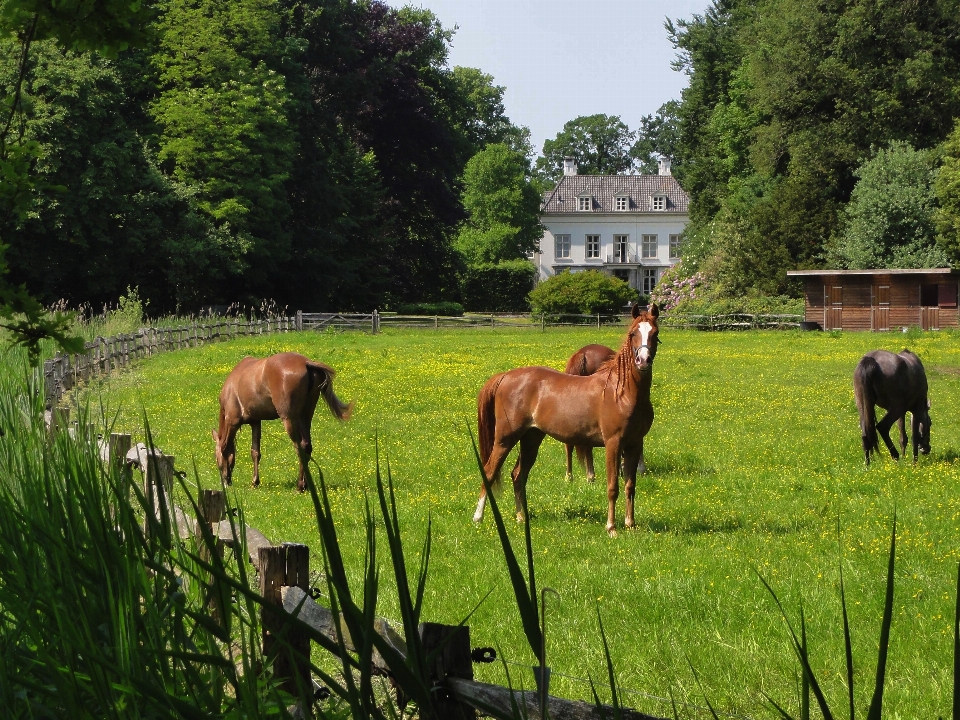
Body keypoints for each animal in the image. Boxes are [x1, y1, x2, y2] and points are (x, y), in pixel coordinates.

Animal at [212, 352, 354, 492]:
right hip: (306, 416)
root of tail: (306, 363)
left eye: (216, 457)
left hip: (290, 419)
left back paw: (300, 486)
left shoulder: (232, 422)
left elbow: (226, 449)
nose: (225, 482)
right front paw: (255, 482)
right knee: (307, 446)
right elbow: (255, 452)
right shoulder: (256, 422)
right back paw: (306, 485)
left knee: (300, 447)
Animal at [474, 304, 660, 536]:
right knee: (489, 472)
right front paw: (611, 528)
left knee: (518, 475)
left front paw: (630, 524)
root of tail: (505, 376)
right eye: (633, 333)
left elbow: (630, 485)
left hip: (531, 438)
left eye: (655, 333)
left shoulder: (634, 444)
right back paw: (478, 518)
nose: (643, 360)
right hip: (505, 438)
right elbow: (613, 487)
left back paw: (521, 517)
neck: (622, 393)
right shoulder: (613, 443)